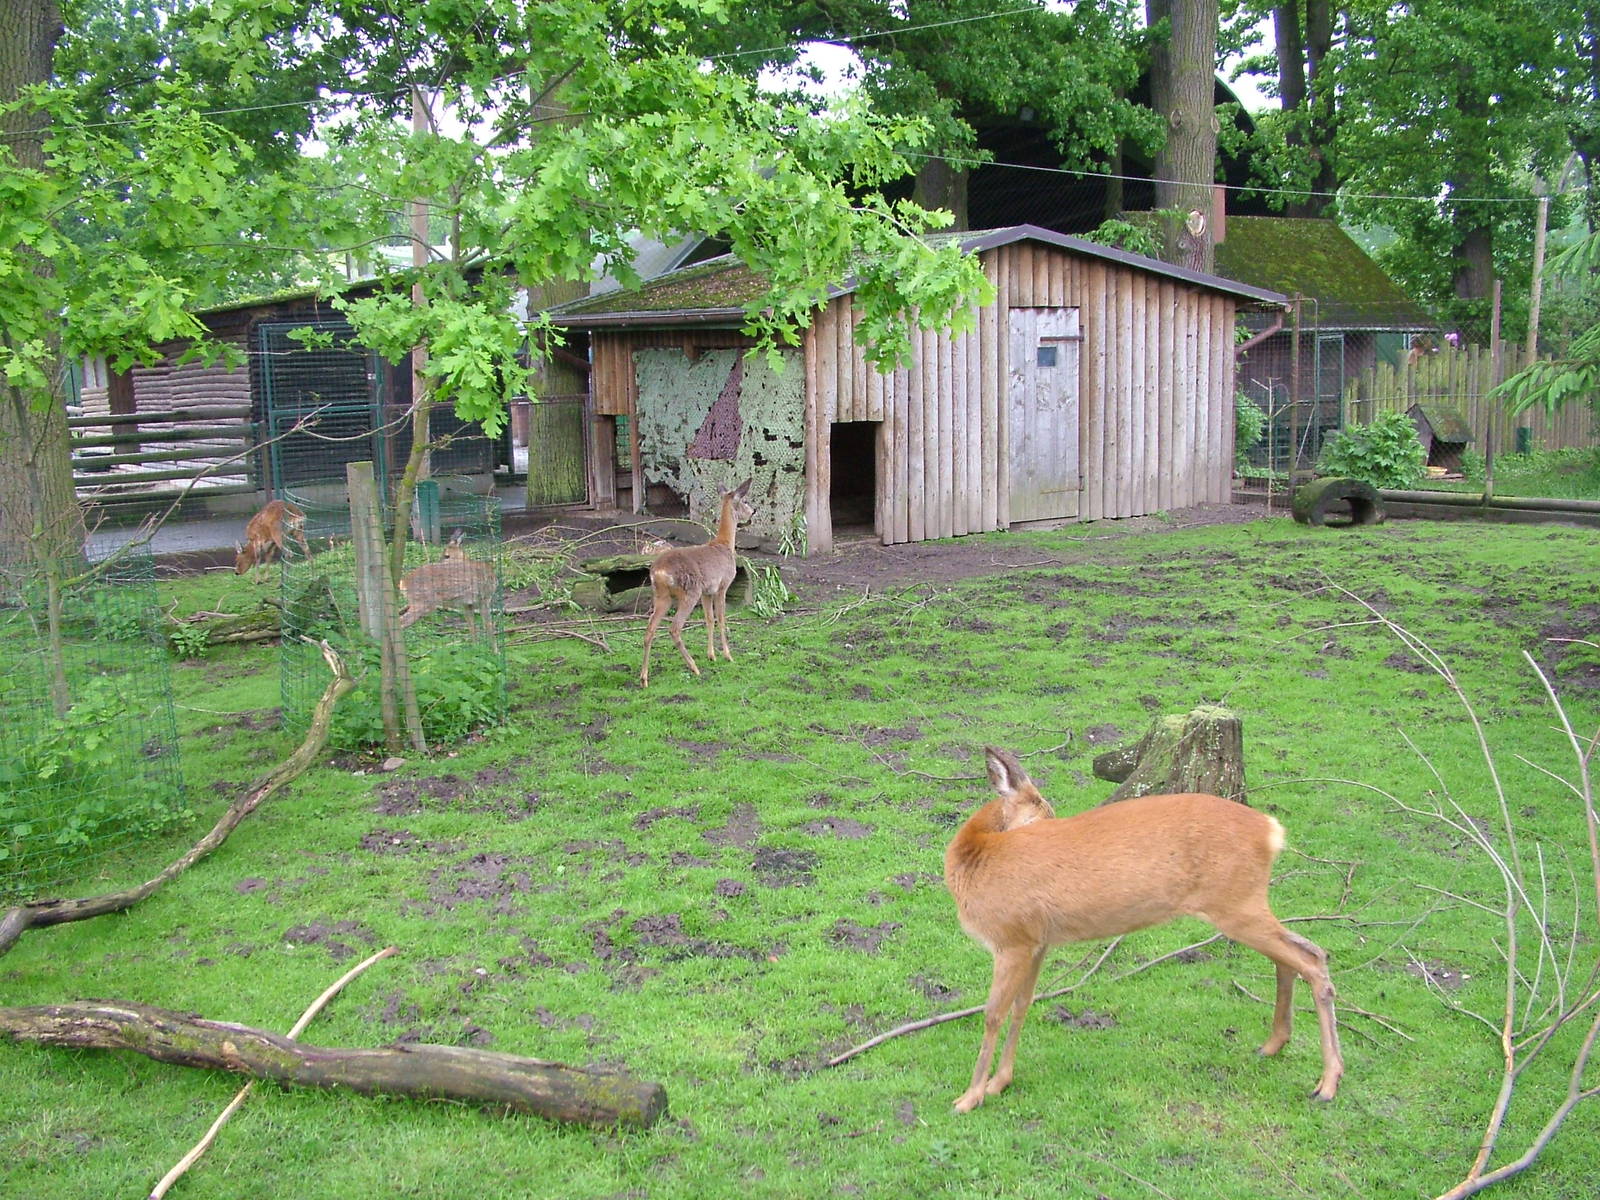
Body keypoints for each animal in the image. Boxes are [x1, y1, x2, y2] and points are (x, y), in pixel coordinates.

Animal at [639, 478, 755, 688]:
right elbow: (721, 619)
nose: (753, 512)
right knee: (674, 628)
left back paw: (644, 678)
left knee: (649, 629)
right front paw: (727, 655)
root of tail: (658, 572)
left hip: (662, 595)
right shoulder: (722, 586)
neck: (725, 544)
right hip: (689, 592)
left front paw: (712, 655)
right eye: (744, 500)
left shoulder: (707, 592)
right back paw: (694, 667)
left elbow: (709, 619)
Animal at [943, 747, 1343, 1114]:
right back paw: (1273, 1046)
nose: (1054, 823)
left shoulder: (1011, 938)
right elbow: (1022, 1005)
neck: (977, 859)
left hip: (1236, 903)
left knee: (1308, 959)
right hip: (1245, 904)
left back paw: (1326, 1084)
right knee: (1305, 951)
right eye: (1044, 808)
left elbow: (993, 1014)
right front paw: (999, 1083)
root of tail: (1272, 830)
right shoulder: (1037, 941)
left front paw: (969, 1097)